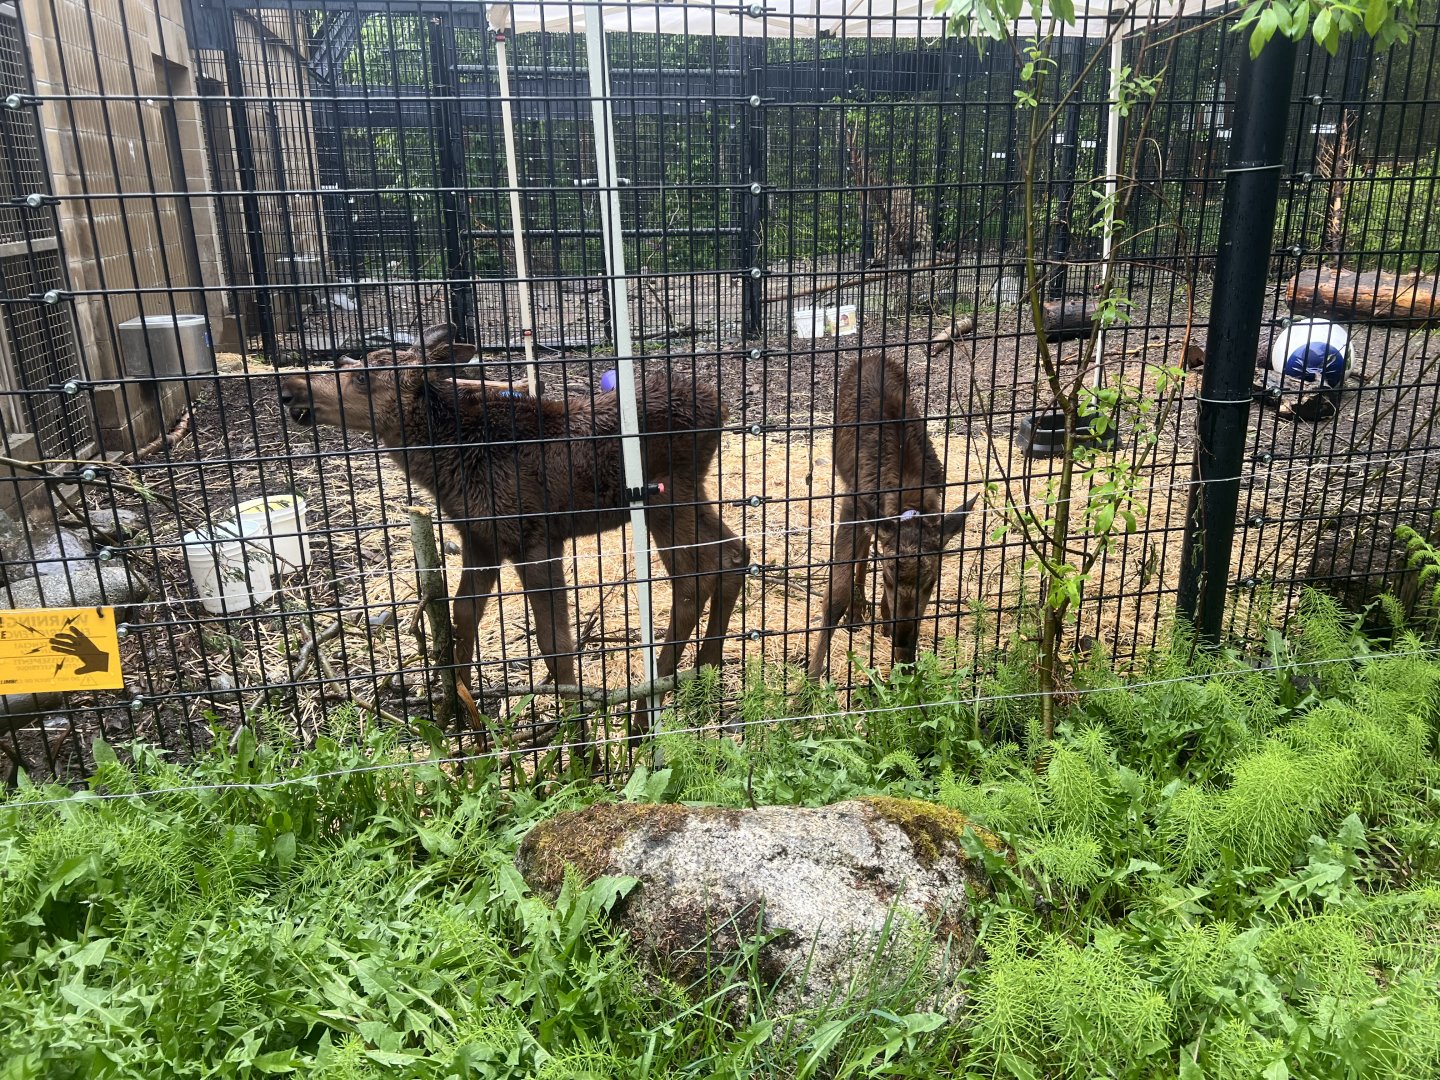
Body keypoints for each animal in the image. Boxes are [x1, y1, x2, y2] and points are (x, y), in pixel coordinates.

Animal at [278, 325, 750, 720]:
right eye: (345, 363)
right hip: (687, 494)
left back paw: (649, 704)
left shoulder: (534, 539)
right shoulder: (479, 538)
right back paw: (704, 676)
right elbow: (462, 616)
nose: (289, 391)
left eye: (363, 378)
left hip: (665, 498)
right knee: (732, 552)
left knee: (694, 574)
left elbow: (555, 645)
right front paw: (462, 714)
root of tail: (721, 406)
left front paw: (576, 740)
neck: (447, 460)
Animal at [807, 351, 978, 679]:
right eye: (886, 577)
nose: (902, 635)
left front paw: (906, 669)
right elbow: (835, 594)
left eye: (931, 581)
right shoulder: (852, 505)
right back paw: (857, 610)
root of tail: (874, 355)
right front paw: (809, 680)